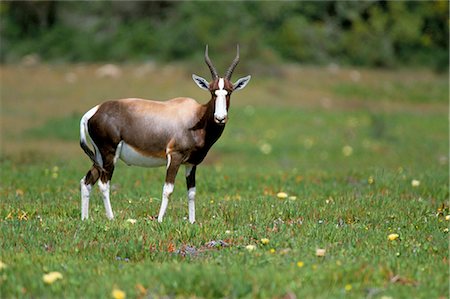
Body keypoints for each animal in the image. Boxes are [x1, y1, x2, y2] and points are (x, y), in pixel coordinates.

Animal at [79, 45, 251, 224]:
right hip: (109, 155)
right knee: (103, 184)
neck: (196, 116)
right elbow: (168, 189)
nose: (220, 118)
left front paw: (192, 222)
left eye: (229, 91)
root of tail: (93, 111)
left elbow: (191, 192)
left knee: (86, 181)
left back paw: (85, 219)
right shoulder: (174, 157)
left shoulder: (191, 164)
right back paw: (111, 218)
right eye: (212, 92)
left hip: (99, 156)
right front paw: (160, 220)